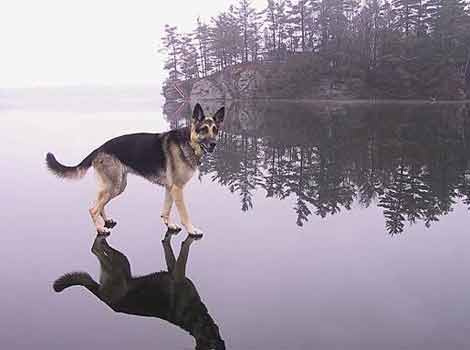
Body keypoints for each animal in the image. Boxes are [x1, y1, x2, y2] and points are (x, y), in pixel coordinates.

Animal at [46, 104, 224, 235]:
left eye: (215, 130)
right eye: (204, 129)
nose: (214, 144)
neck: (189, 142)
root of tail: (99, 149)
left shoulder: (170, 188)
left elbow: (166, 209)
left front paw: (169, 225)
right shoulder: (177, 189)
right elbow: (184, 214)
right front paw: (192, 230)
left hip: (117, 186)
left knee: (99, 203)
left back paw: (105, 220)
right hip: (114, 186)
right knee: (93, 208)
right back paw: (100, 228)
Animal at [52, 230, 225, 350]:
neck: (195, 318)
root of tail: (102, 296)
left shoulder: (172, 269)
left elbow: (166, 245)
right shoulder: (178, 275)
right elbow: (185, 248)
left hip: (122, 264)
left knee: (100, 249)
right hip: (119, 265)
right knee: (94, 249)